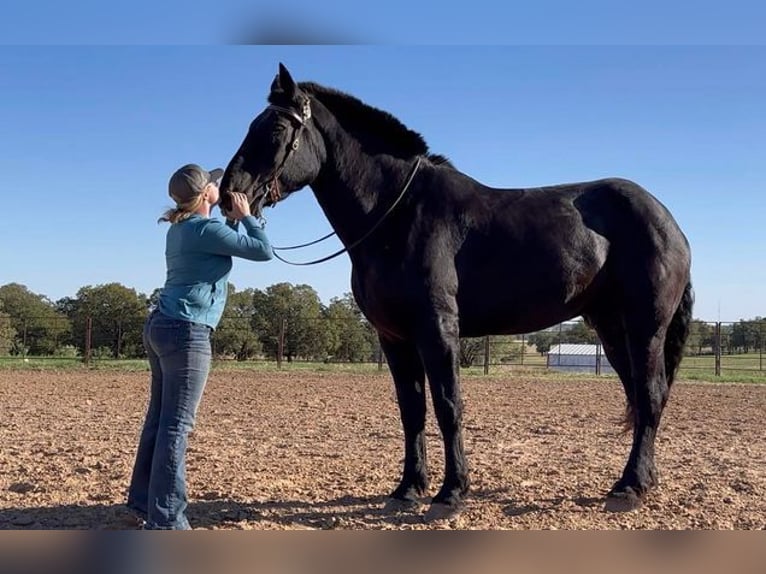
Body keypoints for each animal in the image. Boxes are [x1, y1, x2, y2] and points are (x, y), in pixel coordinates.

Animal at [220, 63, 696, 520]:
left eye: (275, 130)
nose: (229, 193)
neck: (398, 214)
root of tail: (668, 221)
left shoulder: (438, 330)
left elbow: (449, 406)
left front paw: (450, 494)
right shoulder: (394, 339)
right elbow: (412, 411)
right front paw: (408, 490)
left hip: (645, 328)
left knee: (650, 395)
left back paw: (630, 488)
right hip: (612, 330)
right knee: (640, 396)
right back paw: (640, 481)